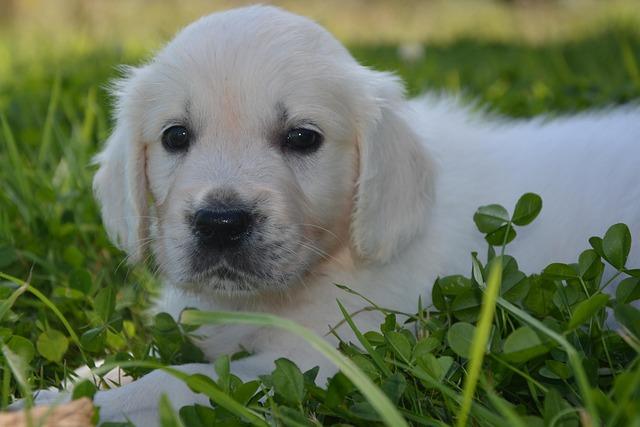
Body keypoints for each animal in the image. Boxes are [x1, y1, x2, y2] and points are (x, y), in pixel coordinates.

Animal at [56, 4, 640, 427]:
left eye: (302, 138)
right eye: (175, 136)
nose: (221, 222)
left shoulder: (328, 358)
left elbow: (185, 380)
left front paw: (86, 407)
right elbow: (138, 358)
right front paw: (67, 388)